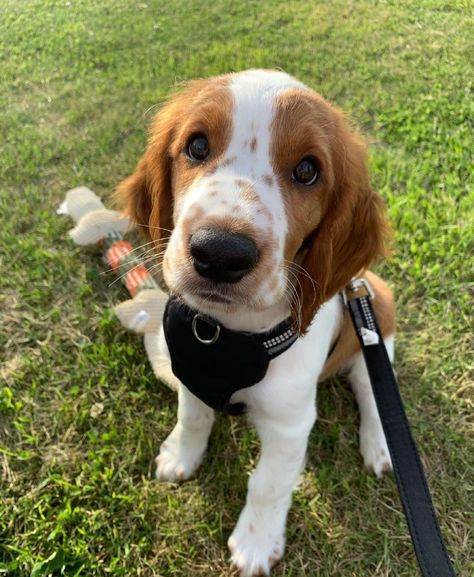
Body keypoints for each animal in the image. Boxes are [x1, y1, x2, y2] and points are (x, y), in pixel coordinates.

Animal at [117, 70, 396, 572]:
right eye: (197, 146)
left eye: (307, 171)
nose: (220, 252)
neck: (226, 336)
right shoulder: (190, 376)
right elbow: (193, 419)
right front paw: (180, 456)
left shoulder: (290, 424)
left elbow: (268, 483)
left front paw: (255, 543)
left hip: (377, 315)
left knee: (373, 389)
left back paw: (380, 444)